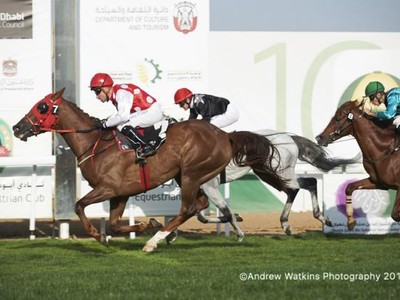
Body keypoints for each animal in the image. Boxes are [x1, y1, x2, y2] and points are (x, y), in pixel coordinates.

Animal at [11, 88, 288, 251]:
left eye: (42, 107)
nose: (17, 127)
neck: (95, 143)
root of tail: (224, 136)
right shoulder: (120, 193)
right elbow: (114, 225)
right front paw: (146, 225)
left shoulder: (108, 188)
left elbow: (79, 205)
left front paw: (99, 237)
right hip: (188, 176)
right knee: (198, 206)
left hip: (192, 173)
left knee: (189, 208)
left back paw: (156, 242)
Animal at [316, 99, 400, 230]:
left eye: (337, 119)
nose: (319, 138)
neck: (385, 149)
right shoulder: (378, 182)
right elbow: (350, 187)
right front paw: (351, 221)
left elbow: (395, 215)